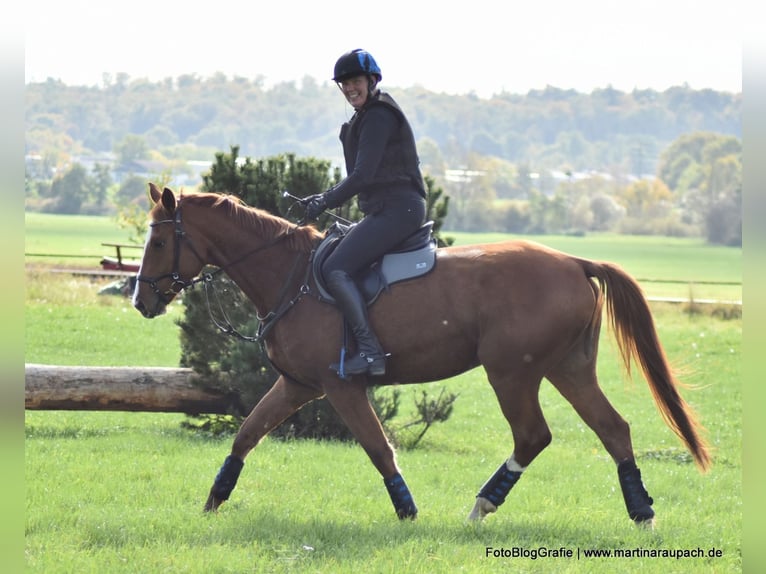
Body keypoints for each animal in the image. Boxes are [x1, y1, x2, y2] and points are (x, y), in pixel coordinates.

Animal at [133, 183, 711, 526]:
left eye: (158, 243)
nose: (141, 301)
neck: (289, 275)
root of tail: (572, 261)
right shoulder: (298, 385)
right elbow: (247, 433)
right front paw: (213, 501)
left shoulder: (340, 387)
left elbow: (378, 448)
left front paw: (407, 513)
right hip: (568, 369)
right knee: (613, 429)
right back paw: (642, 514)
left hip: (512, 373)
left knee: (533, 436)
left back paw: (482, 506)